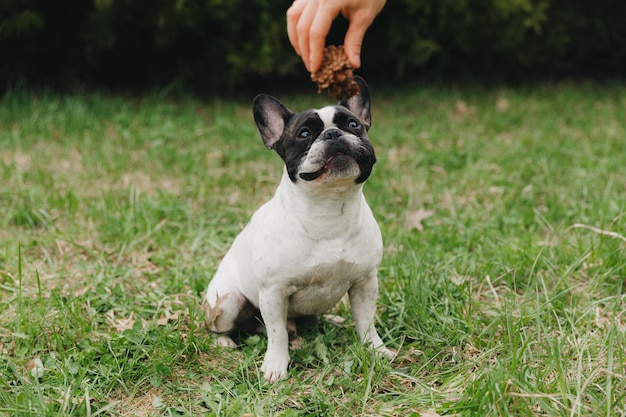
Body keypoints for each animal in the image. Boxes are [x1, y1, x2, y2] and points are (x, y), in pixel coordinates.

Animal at [204, 76, 390, 382]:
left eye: (353, 124)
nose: (333, 134)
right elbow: (277, 333)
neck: (329, 209)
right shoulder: (273, 292)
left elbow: (366, 321)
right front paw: (275, 366)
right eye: (304, 134)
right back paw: (224, 342)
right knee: (226, 327)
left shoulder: (365, 283)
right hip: (227, 302)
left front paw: (376, 349)